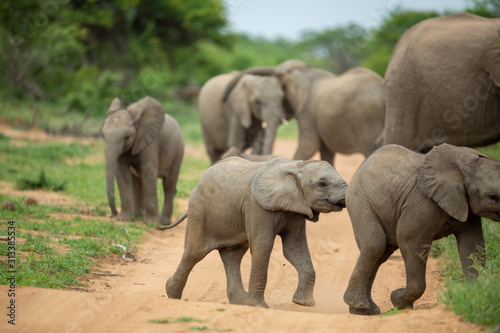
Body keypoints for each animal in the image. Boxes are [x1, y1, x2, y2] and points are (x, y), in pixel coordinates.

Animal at [102, 96, 185, 226]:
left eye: (127, 137)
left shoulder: (151, 143)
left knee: (168, 185)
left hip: (178, 152)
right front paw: (123, 219)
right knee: (138, 182)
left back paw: (164, 222)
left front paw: (151, 223)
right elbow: (122, 174)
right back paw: (137, 217)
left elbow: (148, 173)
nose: (113, 214)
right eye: (103, 135)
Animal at [160, 157, 348, 308]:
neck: (296, 166)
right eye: (322, 183)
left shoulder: (296, 210)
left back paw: (240, 302)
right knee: (194, 252)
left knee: (232, 257)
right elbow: (263, 246)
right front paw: (259, 307)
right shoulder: (257, 206)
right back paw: (172, 294)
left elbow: (294, 249)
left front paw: (303, 304)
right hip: (200, 210)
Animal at [223, 60, 382, 165]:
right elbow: (326, 152)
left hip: (368, 119)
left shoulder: (308, 112)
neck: (305, 70)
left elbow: (308, 146)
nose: (223, 97)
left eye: (283, 92)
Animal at [342, 143, 500, 314]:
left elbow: (473, 246)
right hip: (360, 200)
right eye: (492, 197)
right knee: (374, 244)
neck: (464, 167)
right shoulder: (423, 203)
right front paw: (398, 301)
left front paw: (475, 295)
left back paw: (364, 310)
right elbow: (409, 239)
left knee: (381, 252)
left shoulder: (467, 207)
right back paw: (361, 307)